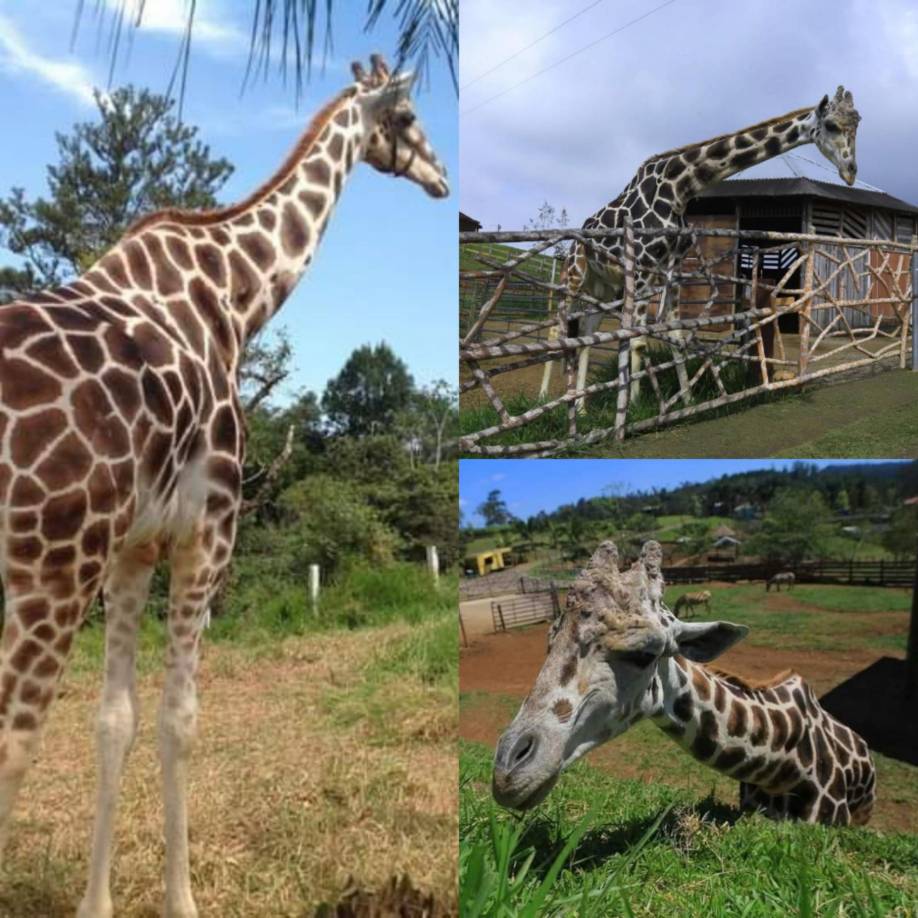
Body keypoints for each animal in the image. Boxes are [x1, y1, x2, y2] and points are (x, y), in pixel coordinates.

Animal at [0, 54, 447, 918]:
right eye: (409, 116)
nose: (441, 178)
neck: (235, 297)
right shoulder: (206, 532)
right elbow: (179, 720)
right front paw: (184, 900)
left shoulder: (133, 551)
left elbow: (115, 721)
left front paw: (98, 905)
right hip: (49, 567)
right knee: (13, 743)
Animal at [539, 86, 861, 411]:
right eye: (831, 125)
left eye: (857, 123)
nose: (850, 172)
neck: (679, 189)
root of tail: (576, 241)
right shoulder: (643, 267)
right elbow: (637, 340)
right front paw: (634, 408)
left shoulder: (671, 270)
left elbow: (677, 336)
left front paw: (687, 401)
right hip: (575, 276)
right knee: (557, 327)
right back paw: (546, 398)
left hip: (603, 287)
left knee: (586, 330)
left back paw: (580, 407)